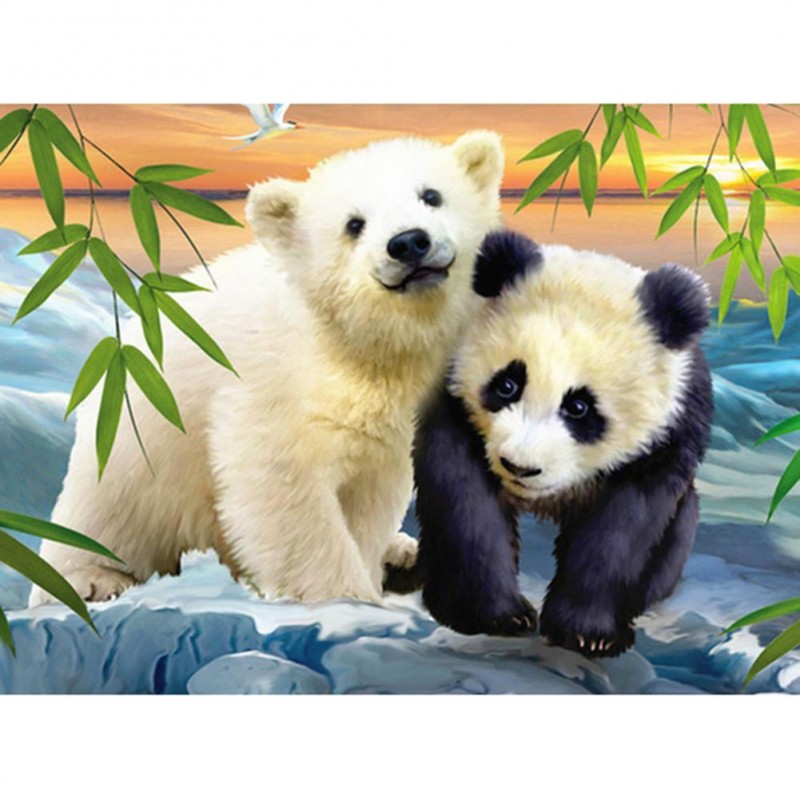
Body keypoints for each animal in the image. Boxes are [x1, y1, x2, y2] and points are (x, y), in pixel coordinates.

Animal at [413, 230, 714, 658]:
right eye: (508, 384)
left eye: (579, 407)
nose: (520, 467)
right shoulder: (454, 404)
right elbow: (464, 502)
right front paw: (492, 615)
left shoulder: (667, 437)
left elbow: (624, 530)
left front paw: (587, 633)